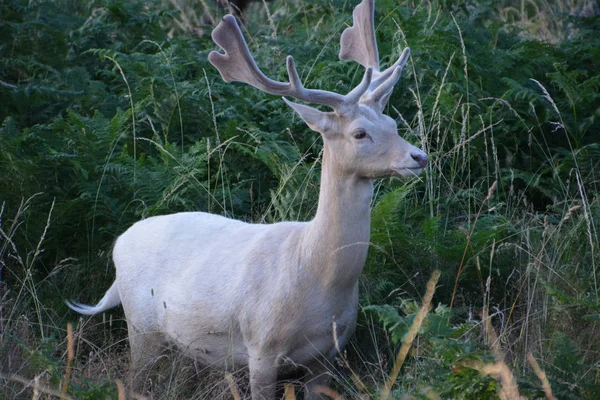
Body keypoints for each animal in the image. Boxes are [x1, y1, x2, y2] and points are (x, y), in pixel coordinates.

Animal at [68, 1, 426, 398]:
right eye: (360, 133)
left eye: (393, 124)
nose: (418, 157)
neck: (316, 280)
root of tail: (119, 242)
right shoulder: (261, 346)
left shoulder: (328, 355)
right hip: (141, 325)